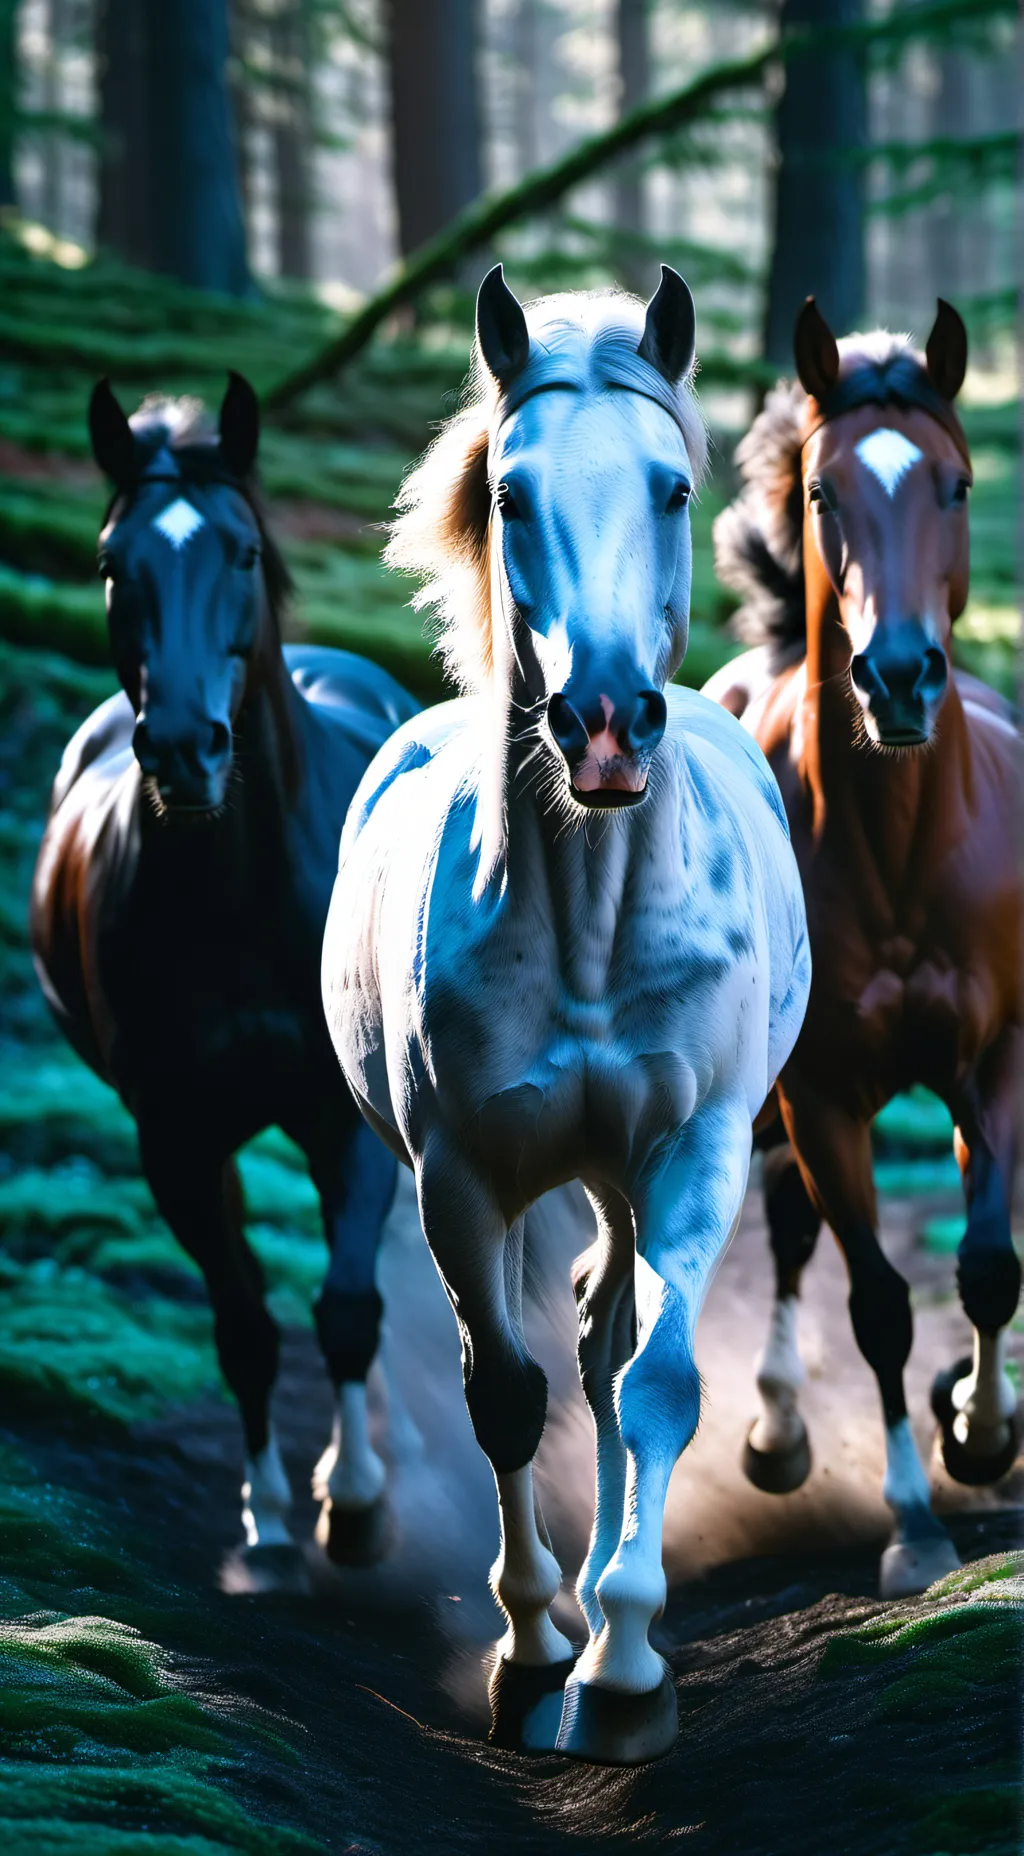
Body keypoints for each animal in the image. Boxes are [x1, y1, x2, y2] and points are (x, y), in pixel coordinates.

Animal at [30, 375, 420, 1578]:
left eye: (242, 552)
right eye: (114, 562)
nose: (185, 750)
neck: (241, 894)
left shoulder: (340, 1114)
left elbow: (348, 1306)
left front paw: (358, 1500)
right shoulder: (175, 1136)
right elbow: (245, 1324)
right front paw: (269, 1518)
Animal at [320, 266, 810, 1763]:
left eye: (671, 484)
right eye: (512, 491)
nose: (601, 724)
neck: (593, 918)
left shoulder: (695, 1149)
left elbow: (655, 1384)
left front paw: (627, 1667)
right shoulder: (461, 1180)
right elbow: (505, 1397)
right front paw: (534, 1652)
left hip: (627, 1173)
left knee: (608, 1348)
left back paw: (608, 1608)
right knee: (562, 1363)